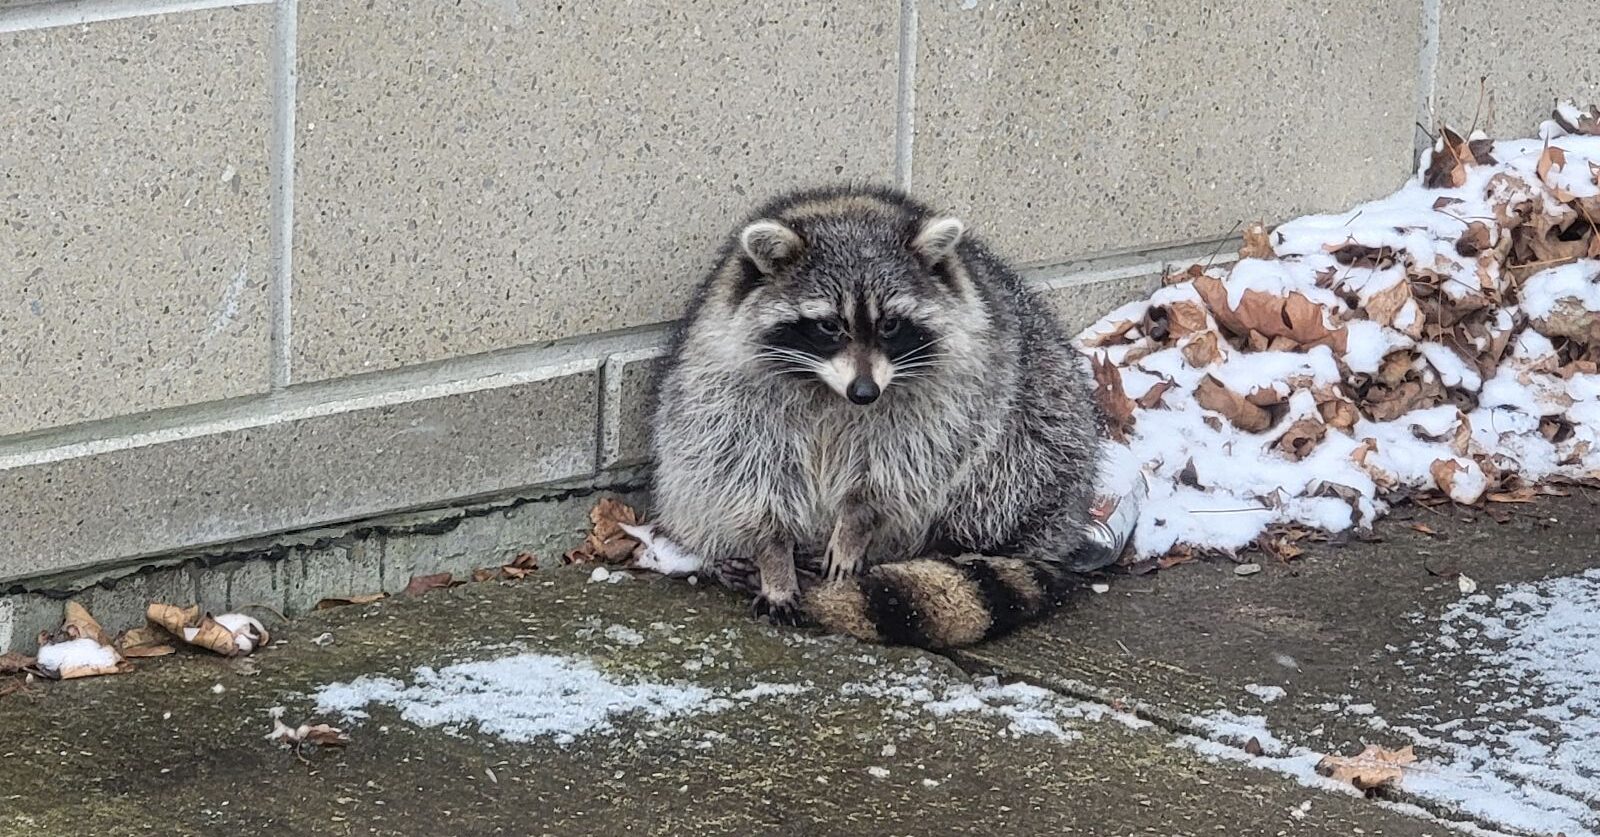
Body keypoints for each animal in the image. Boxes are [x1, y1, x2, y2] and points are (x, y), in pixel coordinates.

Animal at [647, 185, 1104, 649]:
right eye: (829, 326)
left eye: (890, 325)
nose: (865, 393)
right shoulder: (726, 391)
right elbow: (749, 478)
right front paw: (773, 557)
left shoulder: (953, 394)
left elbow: (899, 469)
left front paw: (856, 521)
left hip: (1047, 425)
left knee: (1006, 474)